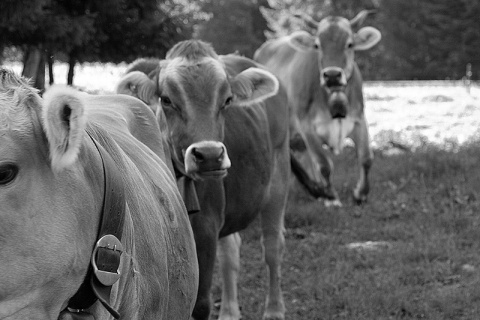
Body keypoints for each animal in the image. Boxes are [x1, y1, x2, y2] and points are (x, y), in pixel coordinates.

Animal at [118, 41, 290, 320]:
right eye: (166, 100)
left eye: (228, 100)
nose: (209, 155)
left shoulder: (206, 225)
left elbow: (200, 304)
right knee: (231, 252)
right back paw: (229, 311)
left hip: (279, 178)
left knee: (273, 247)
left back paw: (274, 309)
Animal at [255, 10, 382, 205]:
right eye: (317, 45)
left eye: (350, 44)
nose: (332, 75)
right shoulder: (306, 125)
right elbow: (324, 164)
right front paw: (330, 196)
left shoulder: (359, 119)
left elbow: (366, 158)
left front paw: (360, 194)